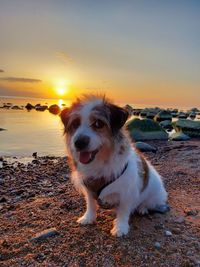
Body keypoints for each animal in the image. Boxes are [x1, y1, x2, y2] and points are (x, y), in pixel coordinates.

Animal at [60, 95, 168, 238]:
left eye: (98, 123)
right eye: (75, 124)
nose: (79, 143)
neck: (100, 161)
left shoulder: (127, 192)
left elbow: (123, 211)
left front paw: (120, 227)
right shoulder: (89, 189)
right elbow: (90, 204)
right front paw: (88, 218)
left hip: (154, 193)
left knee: (147, 202)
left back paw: (142, 208)